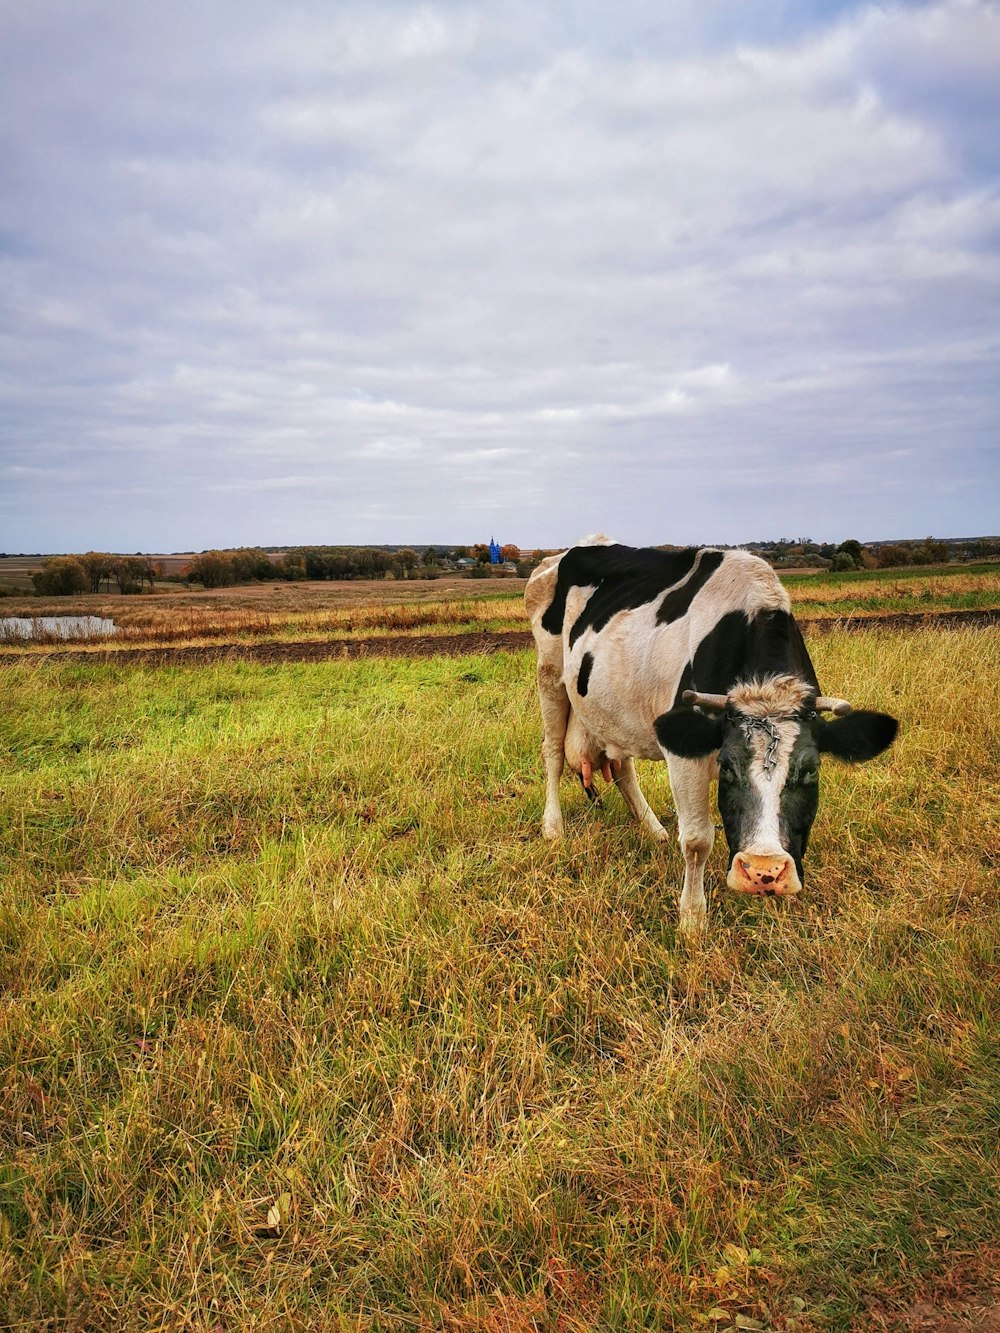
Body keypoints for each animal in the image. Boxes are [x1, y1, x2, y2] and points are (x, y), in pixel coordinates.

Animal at [525, 535, 901, 933]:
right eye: (728, 768)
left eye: (812, 771)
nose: (764, 871)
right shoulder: (683, 753)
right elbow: (696, 840)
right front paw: (692, 919)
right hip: (549, 674)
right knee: (552, 752)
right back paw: (553, 828)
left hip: (613, 706)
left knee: (623, 767)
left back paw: (653, 829)